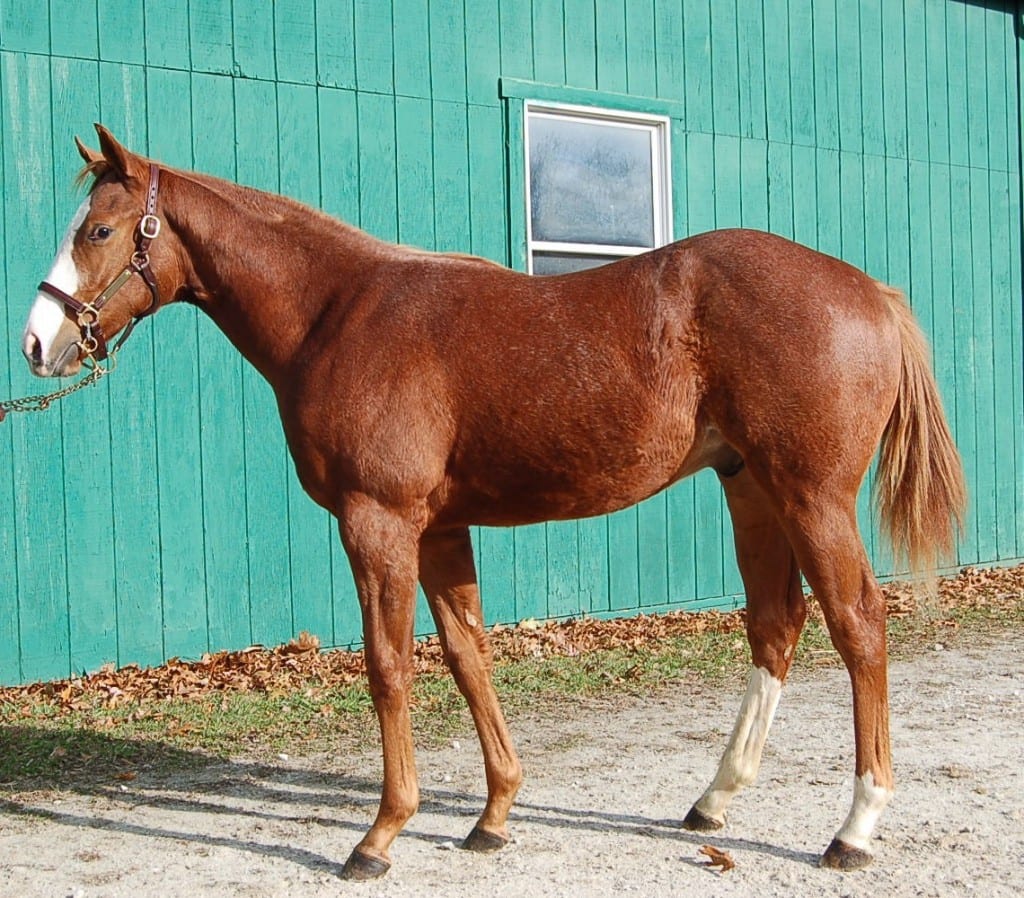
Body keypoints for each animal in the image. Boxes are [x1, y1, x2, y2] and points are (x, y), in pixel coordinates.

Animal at [24, 129, 966, 880]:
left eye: (99, 230)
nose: (38, 342)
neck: (337, 312)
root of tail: (870, 293)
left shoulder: (378, 522)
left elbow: (390, 668)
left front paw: (380, 836)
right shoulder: (442, 529)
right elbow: (468, 657)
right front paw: (495, 814)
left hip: (811, 497)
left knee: (858, 625)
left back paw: (854, 827)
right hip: (752, 489)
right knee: (776, 624)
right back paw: (713, 800)